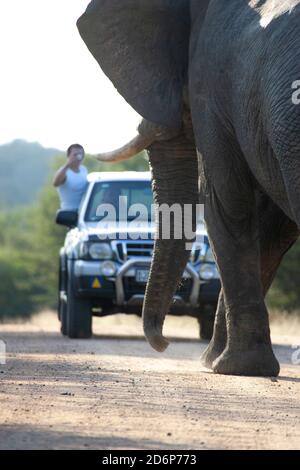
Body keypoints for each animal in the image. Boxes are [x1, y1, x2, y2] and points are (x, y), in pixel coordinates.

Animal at [77, 0, 300, 374]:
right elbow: (272, 230)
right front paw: (214, 361)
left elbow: (225, 203)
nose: (162, 343)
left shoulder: (210, 85)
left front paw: (233, 366)